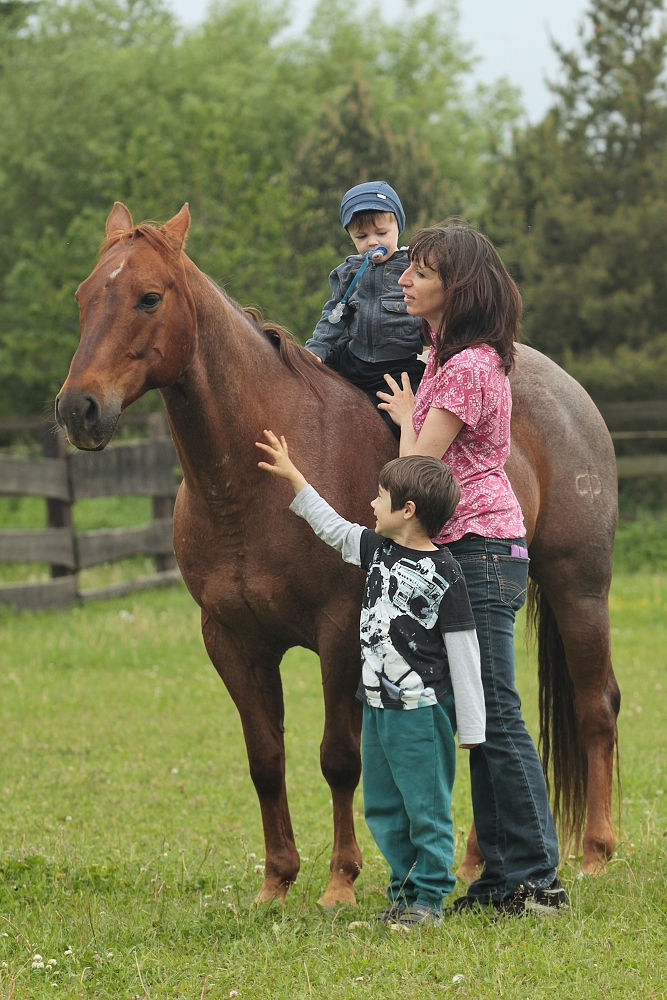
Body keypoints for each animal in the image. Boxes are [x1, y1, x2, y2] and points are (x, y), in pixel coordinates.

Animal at [56, 205, 620, 908]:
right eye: (84, 296)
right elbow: (265, 759)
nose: (78, 409)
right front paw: (276, 880)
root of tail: (572, 394)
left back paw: (595, 852)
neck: (249, 483)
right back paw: (476, 862)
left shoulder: (339, 632)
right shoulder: (231, 640)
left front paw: (339, 881)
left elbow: (338, 758)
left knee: (596, 707)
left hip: (579, 589)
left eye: (149, 297)